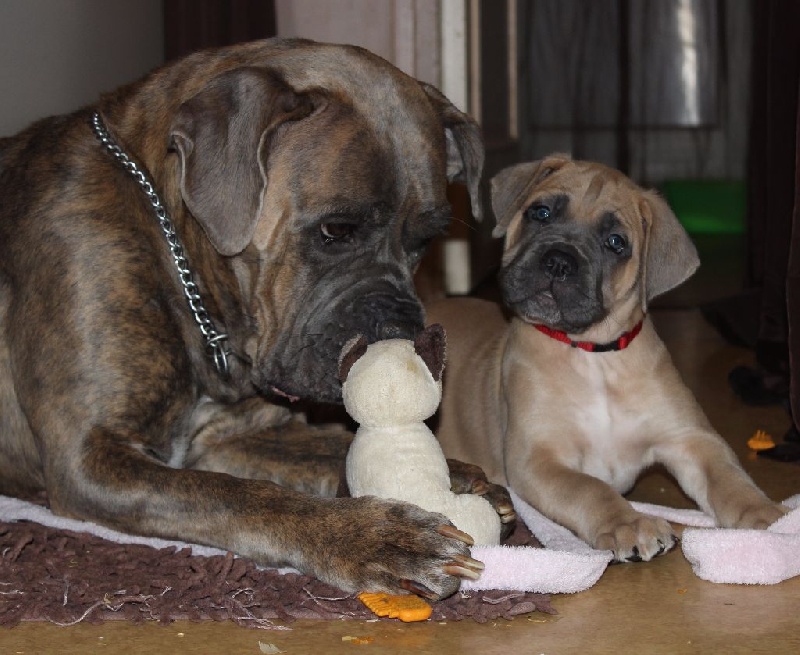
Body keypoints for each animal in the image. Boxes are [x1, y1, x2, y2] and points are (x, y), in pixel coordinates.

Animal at [0, 38, 514, 600]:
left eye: (427, 238)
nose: (402, 331)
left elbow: (330, 446)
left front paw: (455, 473)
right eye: (335, 229)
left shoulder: (227, 437)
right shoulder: (89, 457)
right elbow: (239, 496)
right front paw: (372, 537)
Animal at [428, 154, 787, 562]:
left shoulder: (690, 438)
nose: (558, 261)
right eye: (541, 212)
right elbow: (590, 489)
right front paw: (629, 523)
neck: (594, 357)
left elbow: (729, 476)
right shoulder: (538, 458)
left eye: (616, 242)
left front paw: (766, 516)